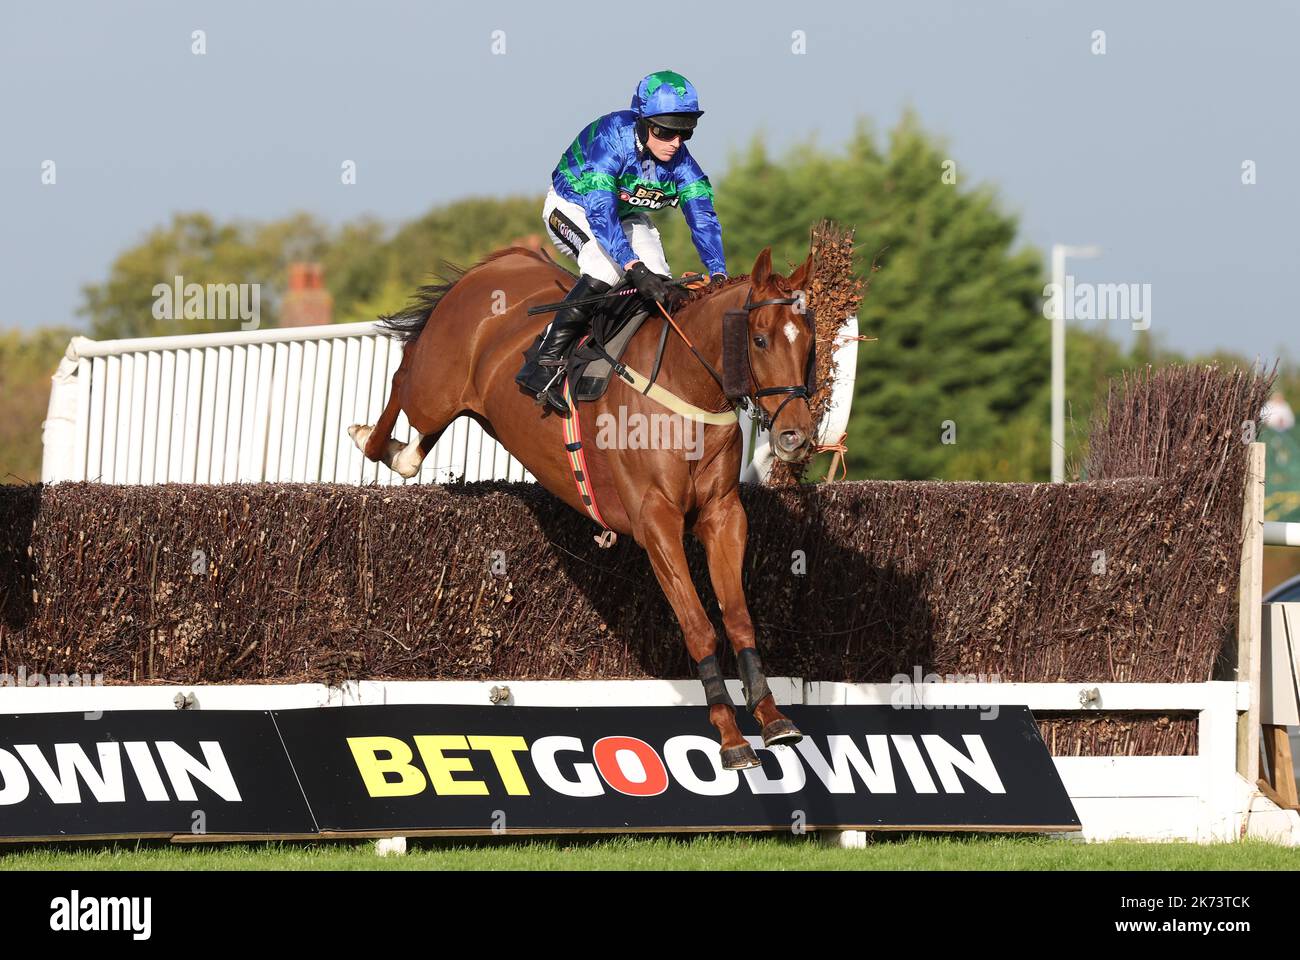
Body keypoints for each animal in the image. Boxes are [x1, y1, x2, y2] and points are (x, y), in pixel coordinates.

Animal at [351, 244, 816, 770]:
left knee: (419, 428)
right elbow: (698, 626)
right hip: (435, 389)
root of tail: (499, 262)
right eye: (759, 339)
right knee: (404, 375)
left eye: (810, 344)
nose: (796, 436)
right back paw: (372, 439)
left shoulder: (723, 514)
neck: (687, 386)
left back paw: (404, 453)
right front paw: (730, 735)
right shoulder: (656, 521)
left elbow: (737, 617)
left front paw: (772, 716)